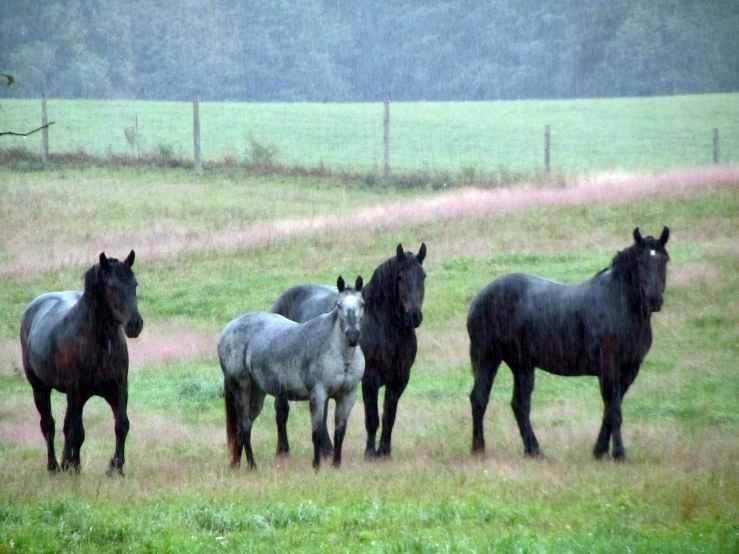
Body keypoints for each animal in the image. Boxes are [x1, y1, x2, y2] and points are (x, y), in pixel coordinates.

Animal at [20, 252, 145, 472]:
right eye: (112, 286)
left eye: (134, 284)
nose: (135, 324)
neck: (100, 344)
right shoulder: (76, 392)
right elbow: (76, 432)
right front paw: (74, 466)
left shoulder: (118, 388)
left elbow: (121, 425)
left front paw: (115, 468)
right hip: (40, 388)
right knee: (49, 424)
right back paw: (54, 465)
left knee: (66, 424)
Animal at [218, 274, 366, 468]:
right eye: (339, 305)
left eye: (362, 304)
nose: (353, 336)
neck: (342, 356)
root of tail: (228, 329)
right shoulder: (318, 395)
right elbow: (317, 433)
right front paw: (316, 466)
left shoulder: (347, 396)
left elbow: (340, 433)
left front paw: (336, 466)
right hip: (241, 389)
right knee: (244, 427)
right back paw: (252, 466)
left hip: (257, 394)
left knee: (242, 428)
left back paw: (236, 464)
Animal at [270, 244, 428, 454]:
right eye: (400, 276)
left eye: (423, 276)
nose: (414, 316)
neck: (382, 326)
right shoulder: (370, 379)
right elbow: (372, 419)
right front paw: (370, 454)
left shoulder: (399, 379)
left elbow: (389, 416)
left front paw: (385, 452)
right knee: (282, 409)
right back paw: (283, 450)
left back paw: (326, 449)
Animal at [468, 226, 672, 460]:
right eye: (639, 262)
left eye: (664, 260)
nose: (654, 300)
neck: (618, 305)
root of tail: (480, 296)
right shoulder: (609, 368)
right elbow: (614, 411)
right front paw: (618, 454)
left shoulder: (630, 370)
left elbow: (611, 409)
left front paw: (600, 451)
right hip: (487, 357)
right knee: (479, 398)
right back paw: (479, 448)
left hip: (522, 365)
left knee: (520, 404)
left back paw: (533, 450)